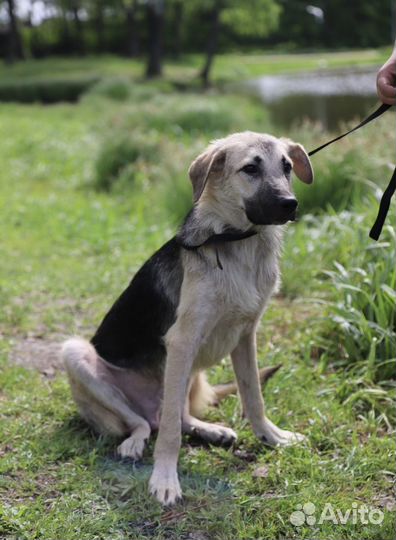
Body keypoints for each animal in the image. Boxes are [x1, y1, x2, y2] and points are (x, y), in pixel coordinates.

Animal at [62, 131, 312, 506]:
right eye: (250, 169)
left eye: (287, 167)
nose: (289, 204)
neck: (236, 241)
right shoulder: (182, 339)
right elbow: (168, 435)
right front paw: (165, 478)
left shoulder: (245, 335)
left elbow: (253, 395)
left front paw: (272, 436)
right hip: (77, 355)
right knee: (147, 423)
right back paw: (135, 442)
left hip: (189, 371)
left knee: (176, 415)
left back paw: (211, 430)